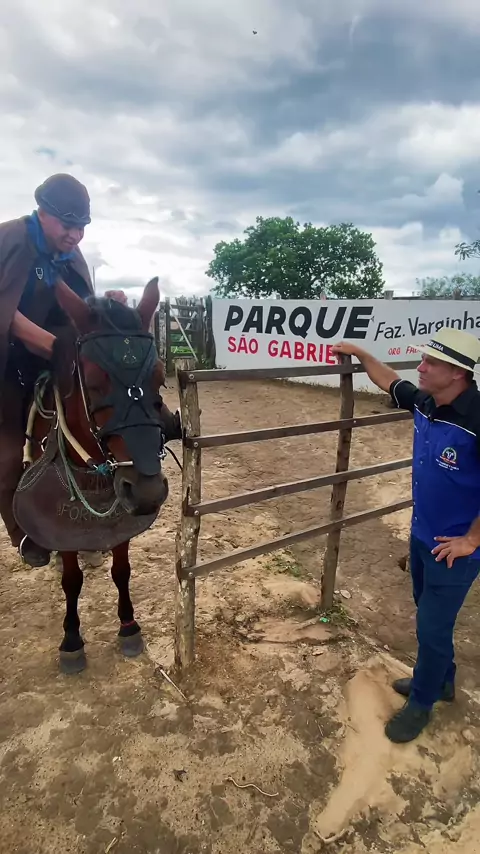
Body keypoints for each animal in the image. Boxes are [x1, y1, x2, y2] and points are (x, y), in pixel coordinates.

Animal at [13, 277, 180, 674]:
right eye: (92, 379)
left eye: (159, 376)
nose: (148, 492)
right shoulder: (61, 525)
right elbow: (71, 580)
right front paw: (72, 640)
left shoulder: (120, 516)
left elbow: (122, 570)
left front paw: (129, 626)